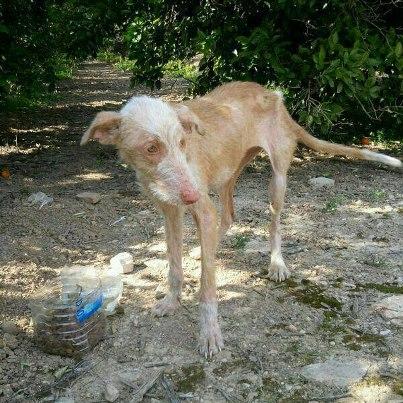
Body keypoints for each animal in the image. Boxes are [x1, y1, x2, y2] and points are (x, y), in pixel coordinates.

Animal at [80, 81, 402, 356]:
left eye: (183, 142)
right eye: (151, 148)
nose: (191, 195)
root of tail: (274, 96)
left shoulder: (199, 208)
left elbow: (208, 286)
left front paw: (209, 333)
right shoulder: (171, 211)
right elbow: (174, 266)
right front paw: (172, 300)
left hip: (276, 181)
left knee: (273, 223)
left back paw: (276, 264)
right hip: (228, 174)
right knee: (229, 216)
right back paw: (207, 248)